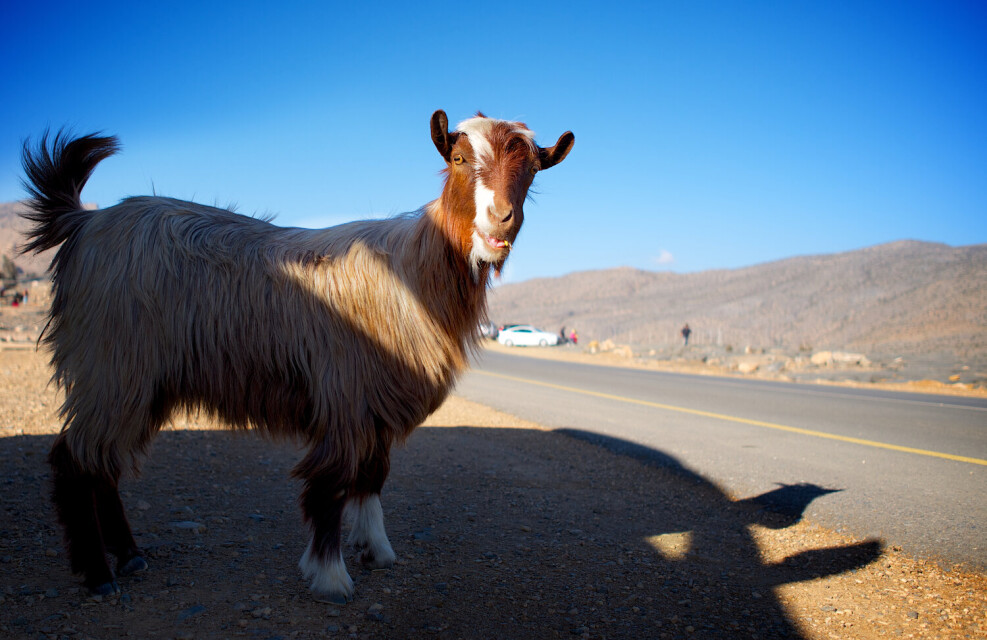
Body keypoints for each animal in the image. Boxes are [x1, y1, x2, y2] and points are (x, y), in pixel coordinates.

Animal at [20, 111, 574, 602]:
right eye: (458, 158)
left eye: (531, 171)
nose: (500, 221)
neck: (413, 271)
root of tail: (85, 221)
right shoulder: (344, 396)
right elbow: (330, 483)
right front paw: (330, 577)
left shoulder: (374, 407)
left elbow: (372, 477)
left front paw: (376, 549)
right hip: (110, 366)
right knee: (73, 462)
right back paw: (98, 575)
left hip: (138, 382)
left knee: (103, 466)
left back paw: (130, 556)